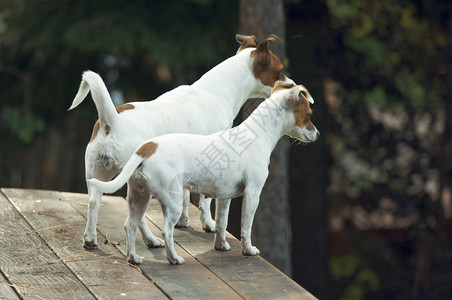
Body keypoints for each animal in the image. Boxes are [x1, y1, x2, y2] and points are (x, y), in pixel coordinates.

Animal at [67, 34, 294, 250]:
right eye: (280, 70)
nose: (291, 84)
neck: (216, 92)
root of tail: (112, 120)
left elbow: (186, 195)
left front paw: (183, 221)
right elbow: (205, 200)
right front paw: (208, 223)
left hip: (96, 175)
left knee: (93, 202)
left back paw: (90, 239)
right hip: (132, 180)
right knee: (137, 218)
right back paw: (151, 240)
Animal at [88, 80, 320, 264]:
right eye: (309, 114)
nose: (318, 134)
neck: (255, 134)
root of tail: (146, 149)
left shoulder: (225, 197)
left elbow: (221, 223)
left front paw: (221, 245)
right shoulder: (253, 194)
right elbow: (246, 226)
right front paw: (248, 250)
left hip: (139, 198)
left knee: (130, 226)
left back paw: (134, 257)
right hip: (172, 201)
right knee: (166, 230)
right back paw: (174, 258)